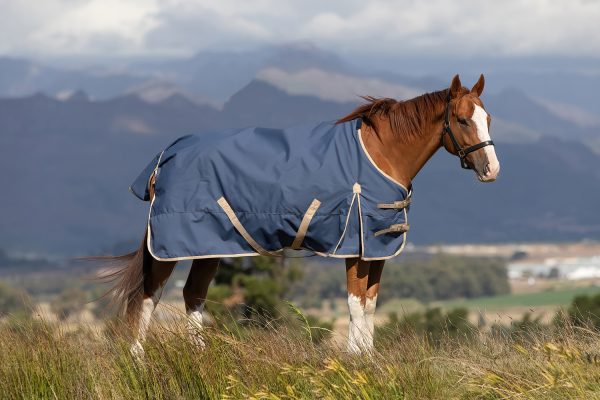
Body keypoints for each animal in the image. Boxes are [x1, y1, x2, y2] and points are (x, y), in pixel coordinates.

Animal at [101, 73, 500, 354]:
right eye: (462, 120)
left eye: (488, 118)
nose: (491, 169)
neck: (381, 154)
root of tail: (166, 156)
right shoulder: (355, 248)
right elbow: (356, 305)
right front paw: (355, 363)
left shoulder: (377, 249)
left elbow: (371, 305)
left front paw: (369, 360)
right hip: (171, 246)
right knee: (149, 296)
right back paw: (138, 360)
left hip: (209, 247)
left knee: (193, 295)